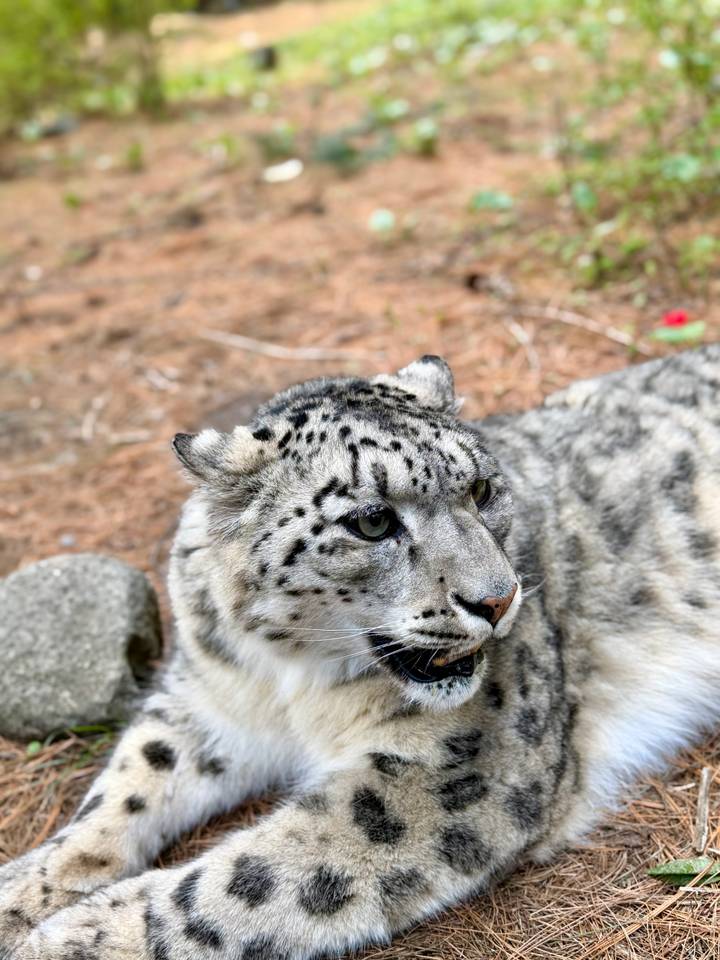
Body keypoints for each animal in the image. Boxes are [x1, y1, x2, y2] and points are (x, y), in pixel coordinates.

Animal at [2, 346, 720, 960]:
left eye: (482, 489)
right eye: (372, 521)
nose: (497, 600)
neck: (288, 679)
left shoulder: (457, 767)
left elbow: (245, 878)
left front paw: (77, 937)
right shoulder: (207, 699)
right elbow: (130, 780)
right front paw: (21, 895)